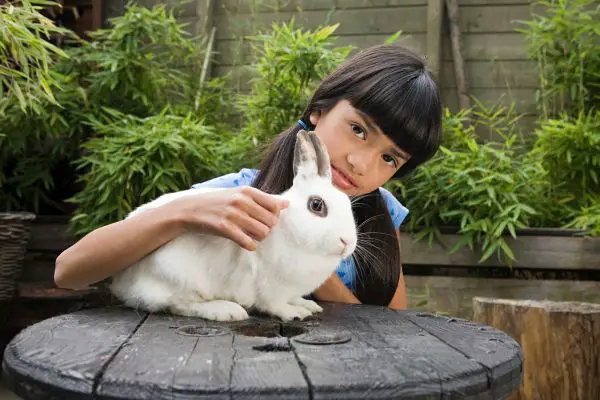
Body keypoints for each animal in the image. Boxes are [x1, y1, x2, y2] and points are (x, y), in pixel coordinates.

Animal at [109, 131, 356, 322]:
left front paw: (308, 305)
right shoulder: (271, 288)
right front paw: (295, 313)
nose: (347, 242)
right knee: (179, 305)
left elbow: (294, 297)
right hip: (177, 276)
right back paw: (227, 311)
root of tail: (122, 282)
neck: (291, 232)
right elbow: (275, 305)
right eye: (317, 205)